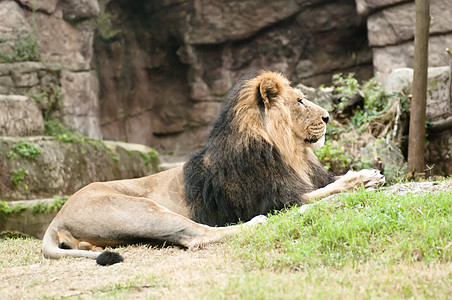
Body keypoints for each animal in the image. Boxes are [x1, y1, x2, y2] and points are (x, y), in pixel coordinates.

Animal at [41, 70, 384, 264]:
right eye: (300, 101)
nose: (328, 117)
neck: (291, 152)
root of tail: (57, 217)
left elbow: (325, 182)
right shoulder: (273, 197)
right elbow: (323, 190)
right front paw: (363, 177)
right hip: (142, 210)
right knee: (198, 235)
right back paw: (259, 222)